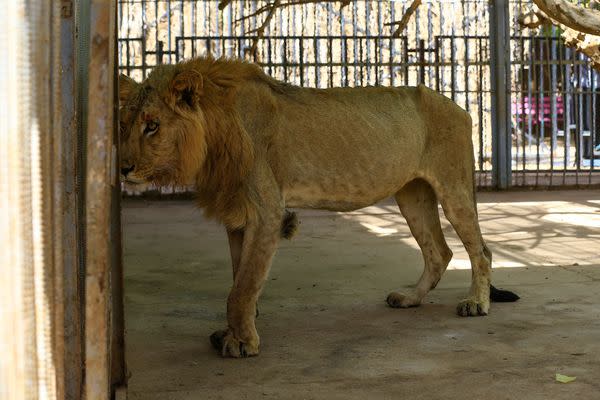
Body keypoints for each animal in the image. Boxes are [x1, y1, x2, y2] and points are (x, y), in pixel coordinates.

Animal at [119, 56, 516, 360]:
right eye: (124, 125)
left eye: (152, 126)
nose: (123, 168)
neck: (213, 137)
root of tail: (458, 107)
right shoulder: (238, 214)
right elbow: (237, 279)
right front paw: (234, 330)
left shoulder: (266, 210)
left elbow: (242, 287)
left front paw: (242, 342)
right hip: (412, 194)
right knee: (439, 252)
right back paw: (410, 298)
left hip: (453, 186)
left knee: (480, 251)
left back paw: (476, 304)